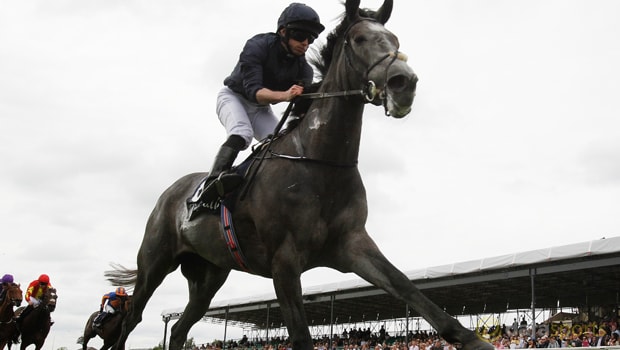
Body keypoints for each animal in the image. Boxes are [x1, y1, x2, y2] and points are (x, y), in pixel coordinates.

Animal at [106, 0, 492, 350]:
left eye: (395, 39)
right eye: (359, 39)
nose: (404, 83)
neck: (320, 162)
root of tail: (171, 192)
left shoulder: (353, 244)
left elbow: (407, 287)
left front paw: (473, 340)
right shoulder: (284, 261)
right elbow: (301, 335)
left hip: (209, 273)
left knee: (180, 328)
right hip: (155, 261)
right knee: (132, 318)